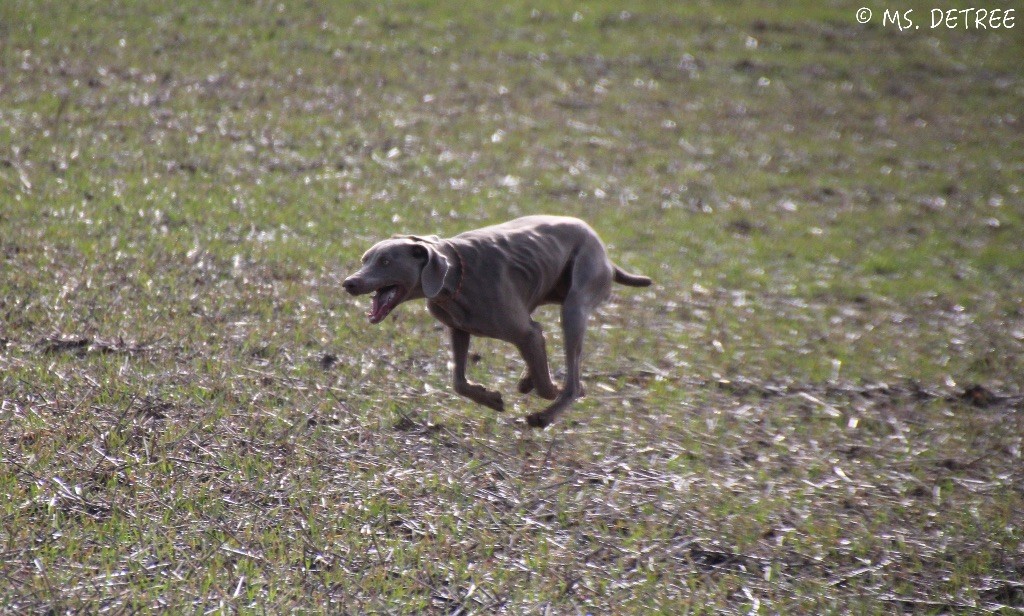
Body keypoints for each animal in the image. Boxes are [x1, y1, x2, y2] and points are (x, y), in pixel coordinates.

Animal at [342, 213, 647, 423]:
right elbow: (459, 382)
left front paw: (546, 389)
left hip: (575, 304)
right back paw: (528, 380)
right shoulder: (458, 329)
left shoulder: (526, 332)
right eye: (365, 259)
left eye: (385, 262)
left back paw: (545, 414)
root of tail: (606, 255)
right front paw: (490, 398)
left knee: (572, 381)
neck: (455, 278)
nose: (349, 283)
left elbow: (547, 385)